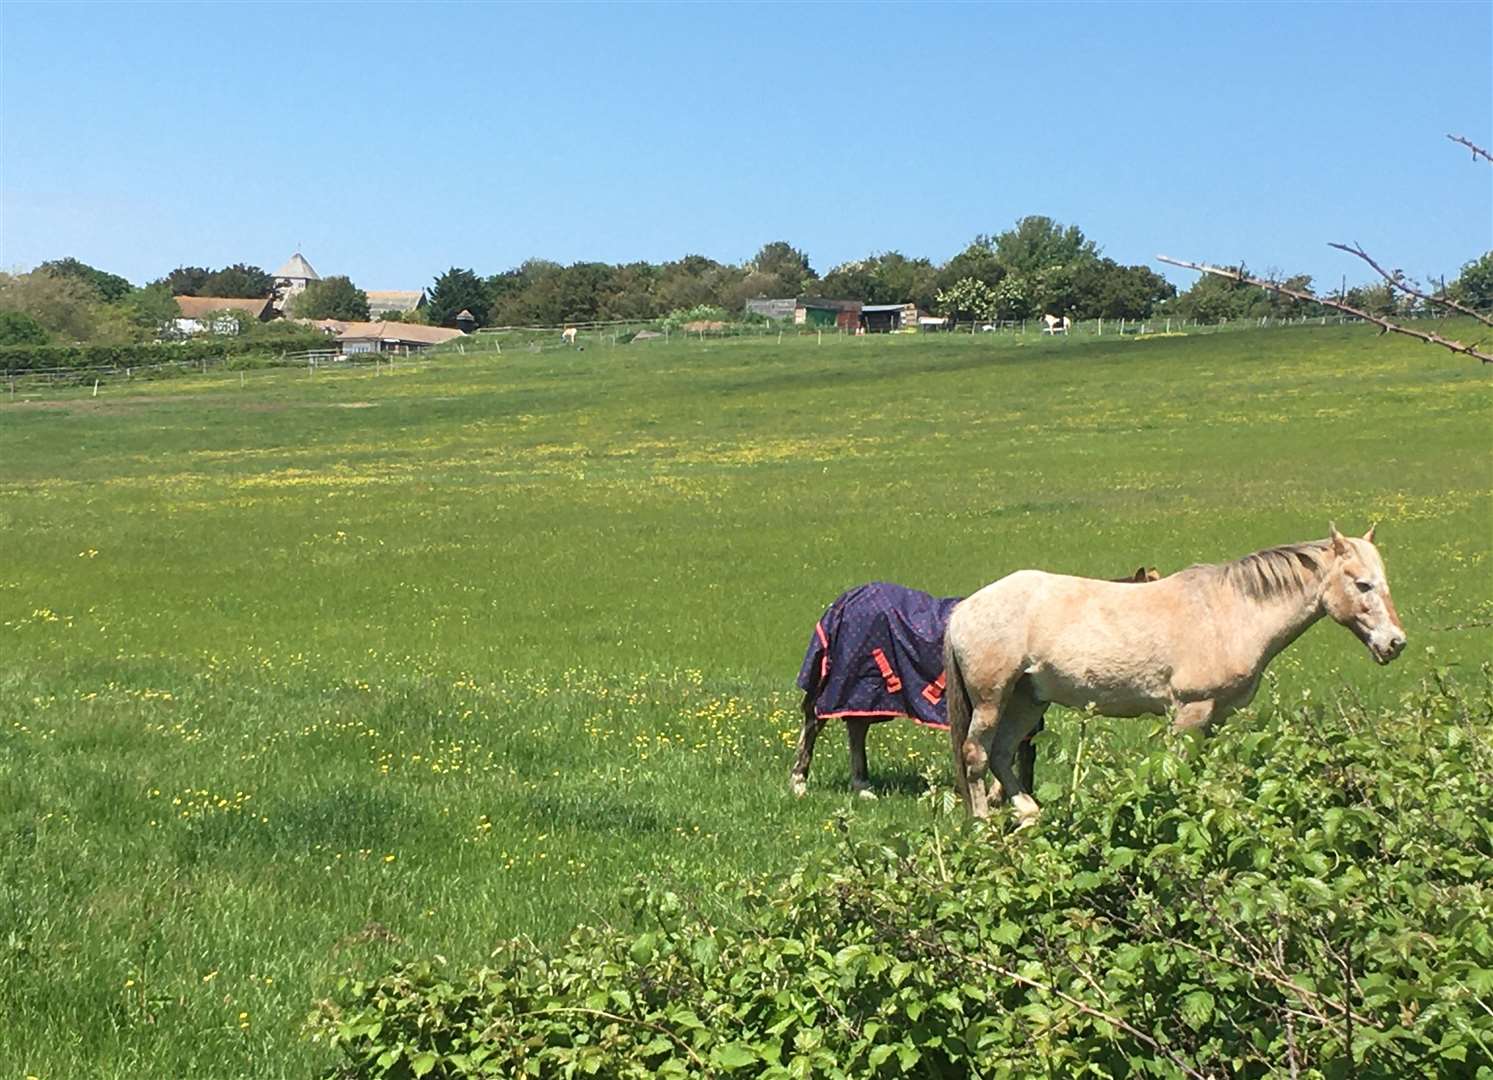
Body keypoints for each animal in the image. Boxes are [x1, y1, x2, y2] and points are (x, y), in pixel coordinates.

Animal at [949, 528, 1403, 824]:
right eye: (1363, 584)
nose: (1395, 643)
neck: (1229, 612)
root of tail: (962, 611)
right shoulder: (1191, 711)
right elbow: (1179, 770)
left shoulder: (1217, 716)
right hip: (992, 699)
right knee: (976, 755)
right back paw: (984, 827)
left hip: (1026, 700)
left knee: (1003, 754)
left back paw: (1029, 815)